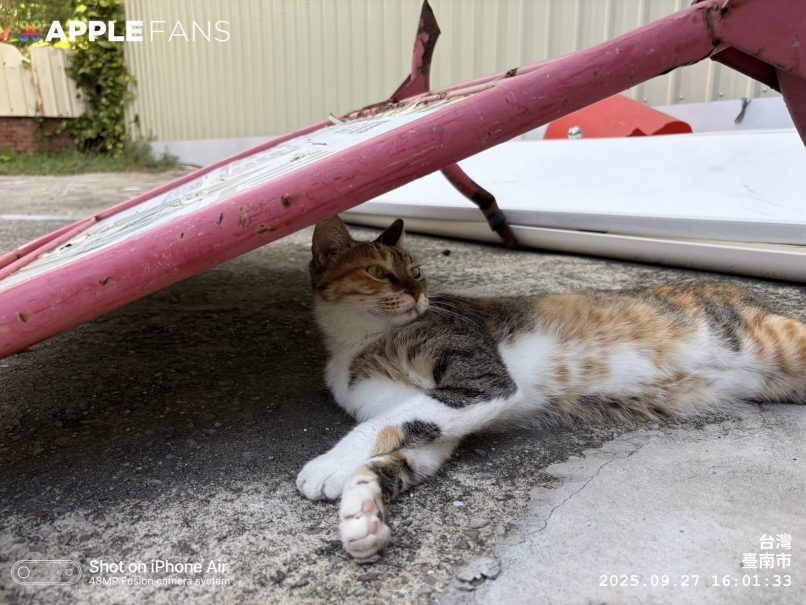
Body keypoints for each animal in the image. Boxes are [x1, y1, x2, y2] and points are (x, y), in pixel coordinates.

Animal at [296, 216, 806, 559]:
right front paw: (362, 513)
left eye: (416, 271)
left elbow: (382, 425)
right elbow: (398, 450)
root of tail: (739, 291)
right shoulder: (443, 419)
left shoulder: (482, 381)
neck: (361, 342)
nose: (417, 293)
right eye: (378, 272)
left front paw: (329, 465)